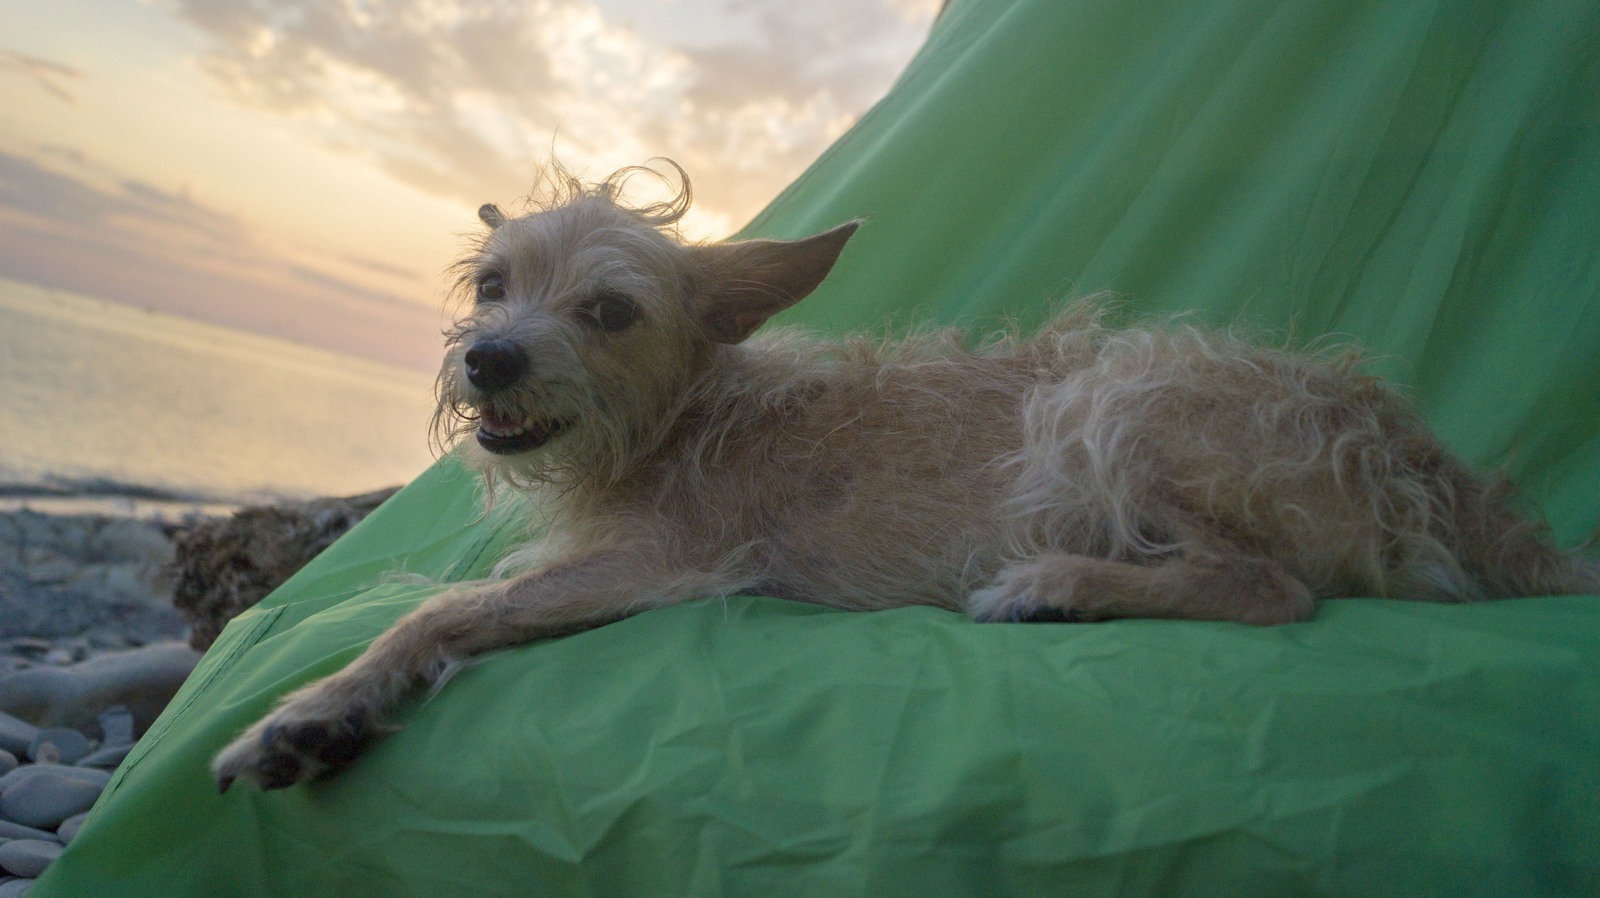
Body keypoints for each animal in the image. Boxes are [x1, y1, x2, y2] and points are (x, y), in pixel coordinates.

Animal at [216, 164, 1600, 787]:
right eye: (494, 285)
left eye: (609, 311)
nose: (490, 357)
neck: (679, 419)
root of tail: (1439, 465)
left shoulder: (660, 564)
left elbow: (445, 608)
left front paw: (310, 711)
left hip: (1111, 400)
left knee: (1271, 589)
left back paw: (1058, 586)